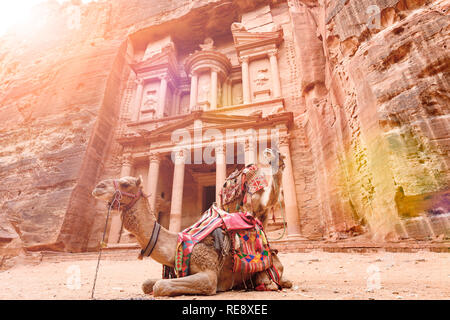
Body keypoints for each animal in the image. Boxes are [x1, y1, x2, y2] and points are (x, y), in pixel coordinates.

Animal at [91, 175, 292, 298]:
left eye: (125, 183)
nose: (98, 187)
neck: (177, 244)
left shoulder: (209, 273)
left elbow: (160, 286)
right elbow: (148, 284)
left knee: (275, 280)